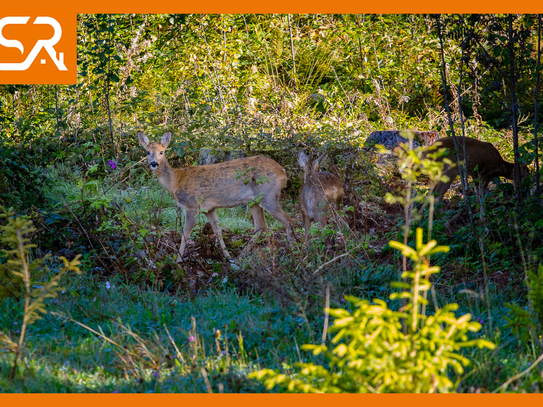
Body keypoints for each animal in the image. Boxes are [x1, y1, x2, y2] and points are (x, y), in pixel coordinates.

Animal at [138, 132, 296, 262]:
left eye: (161, 152)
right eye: (147, 152)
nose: (154, 163)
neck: (176, 181)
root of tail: (282, 171)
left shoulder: (192, 206)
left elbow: (184, 235)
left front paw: (178, 261)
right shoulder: (209, 209)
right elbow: (218, 231)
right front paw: (227, 256)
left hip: (268, 195)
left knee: (288, 221)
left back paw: (294, 252)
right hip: (254, 201)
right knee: (261, 226)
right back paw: (241, 256)